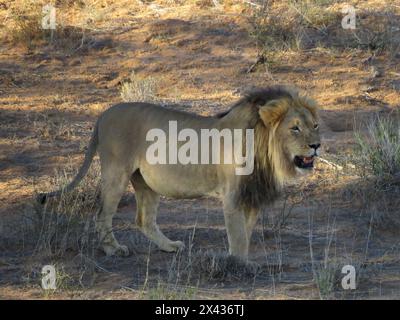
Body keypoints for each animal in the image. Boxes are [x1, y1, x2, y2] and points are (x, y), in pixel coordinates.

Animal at [39, 85, 320, 260]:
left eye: (315, 125)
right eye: (295, 128)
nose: (317, 145)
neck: (267, 151)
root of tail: (104, 114)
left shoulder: (251, 194)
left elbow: (246, 231)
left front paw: (241, 258)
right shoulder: (233, 195)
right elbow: (238, 234)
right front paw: (238, 263)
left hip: (145, 182)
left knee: (144, 220)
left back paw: (169, 246)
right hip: (116, 173)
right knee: (102, 216)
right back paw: (114, 250)